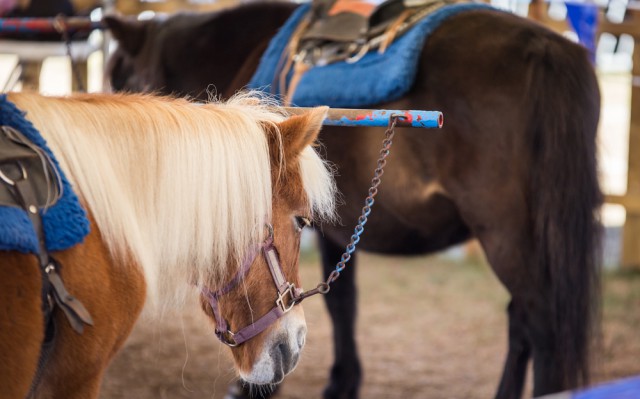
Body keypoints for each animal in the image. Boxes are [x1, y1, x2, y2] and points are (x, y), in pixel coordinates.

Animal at [106, 1, 604, 398]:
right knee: (523, 323)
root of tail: (548, 50)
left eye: (120, 77)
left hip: (507, 235)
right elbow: (343, 303)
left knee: (539, 325)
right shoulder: (334, 227)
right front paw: (343, 382)